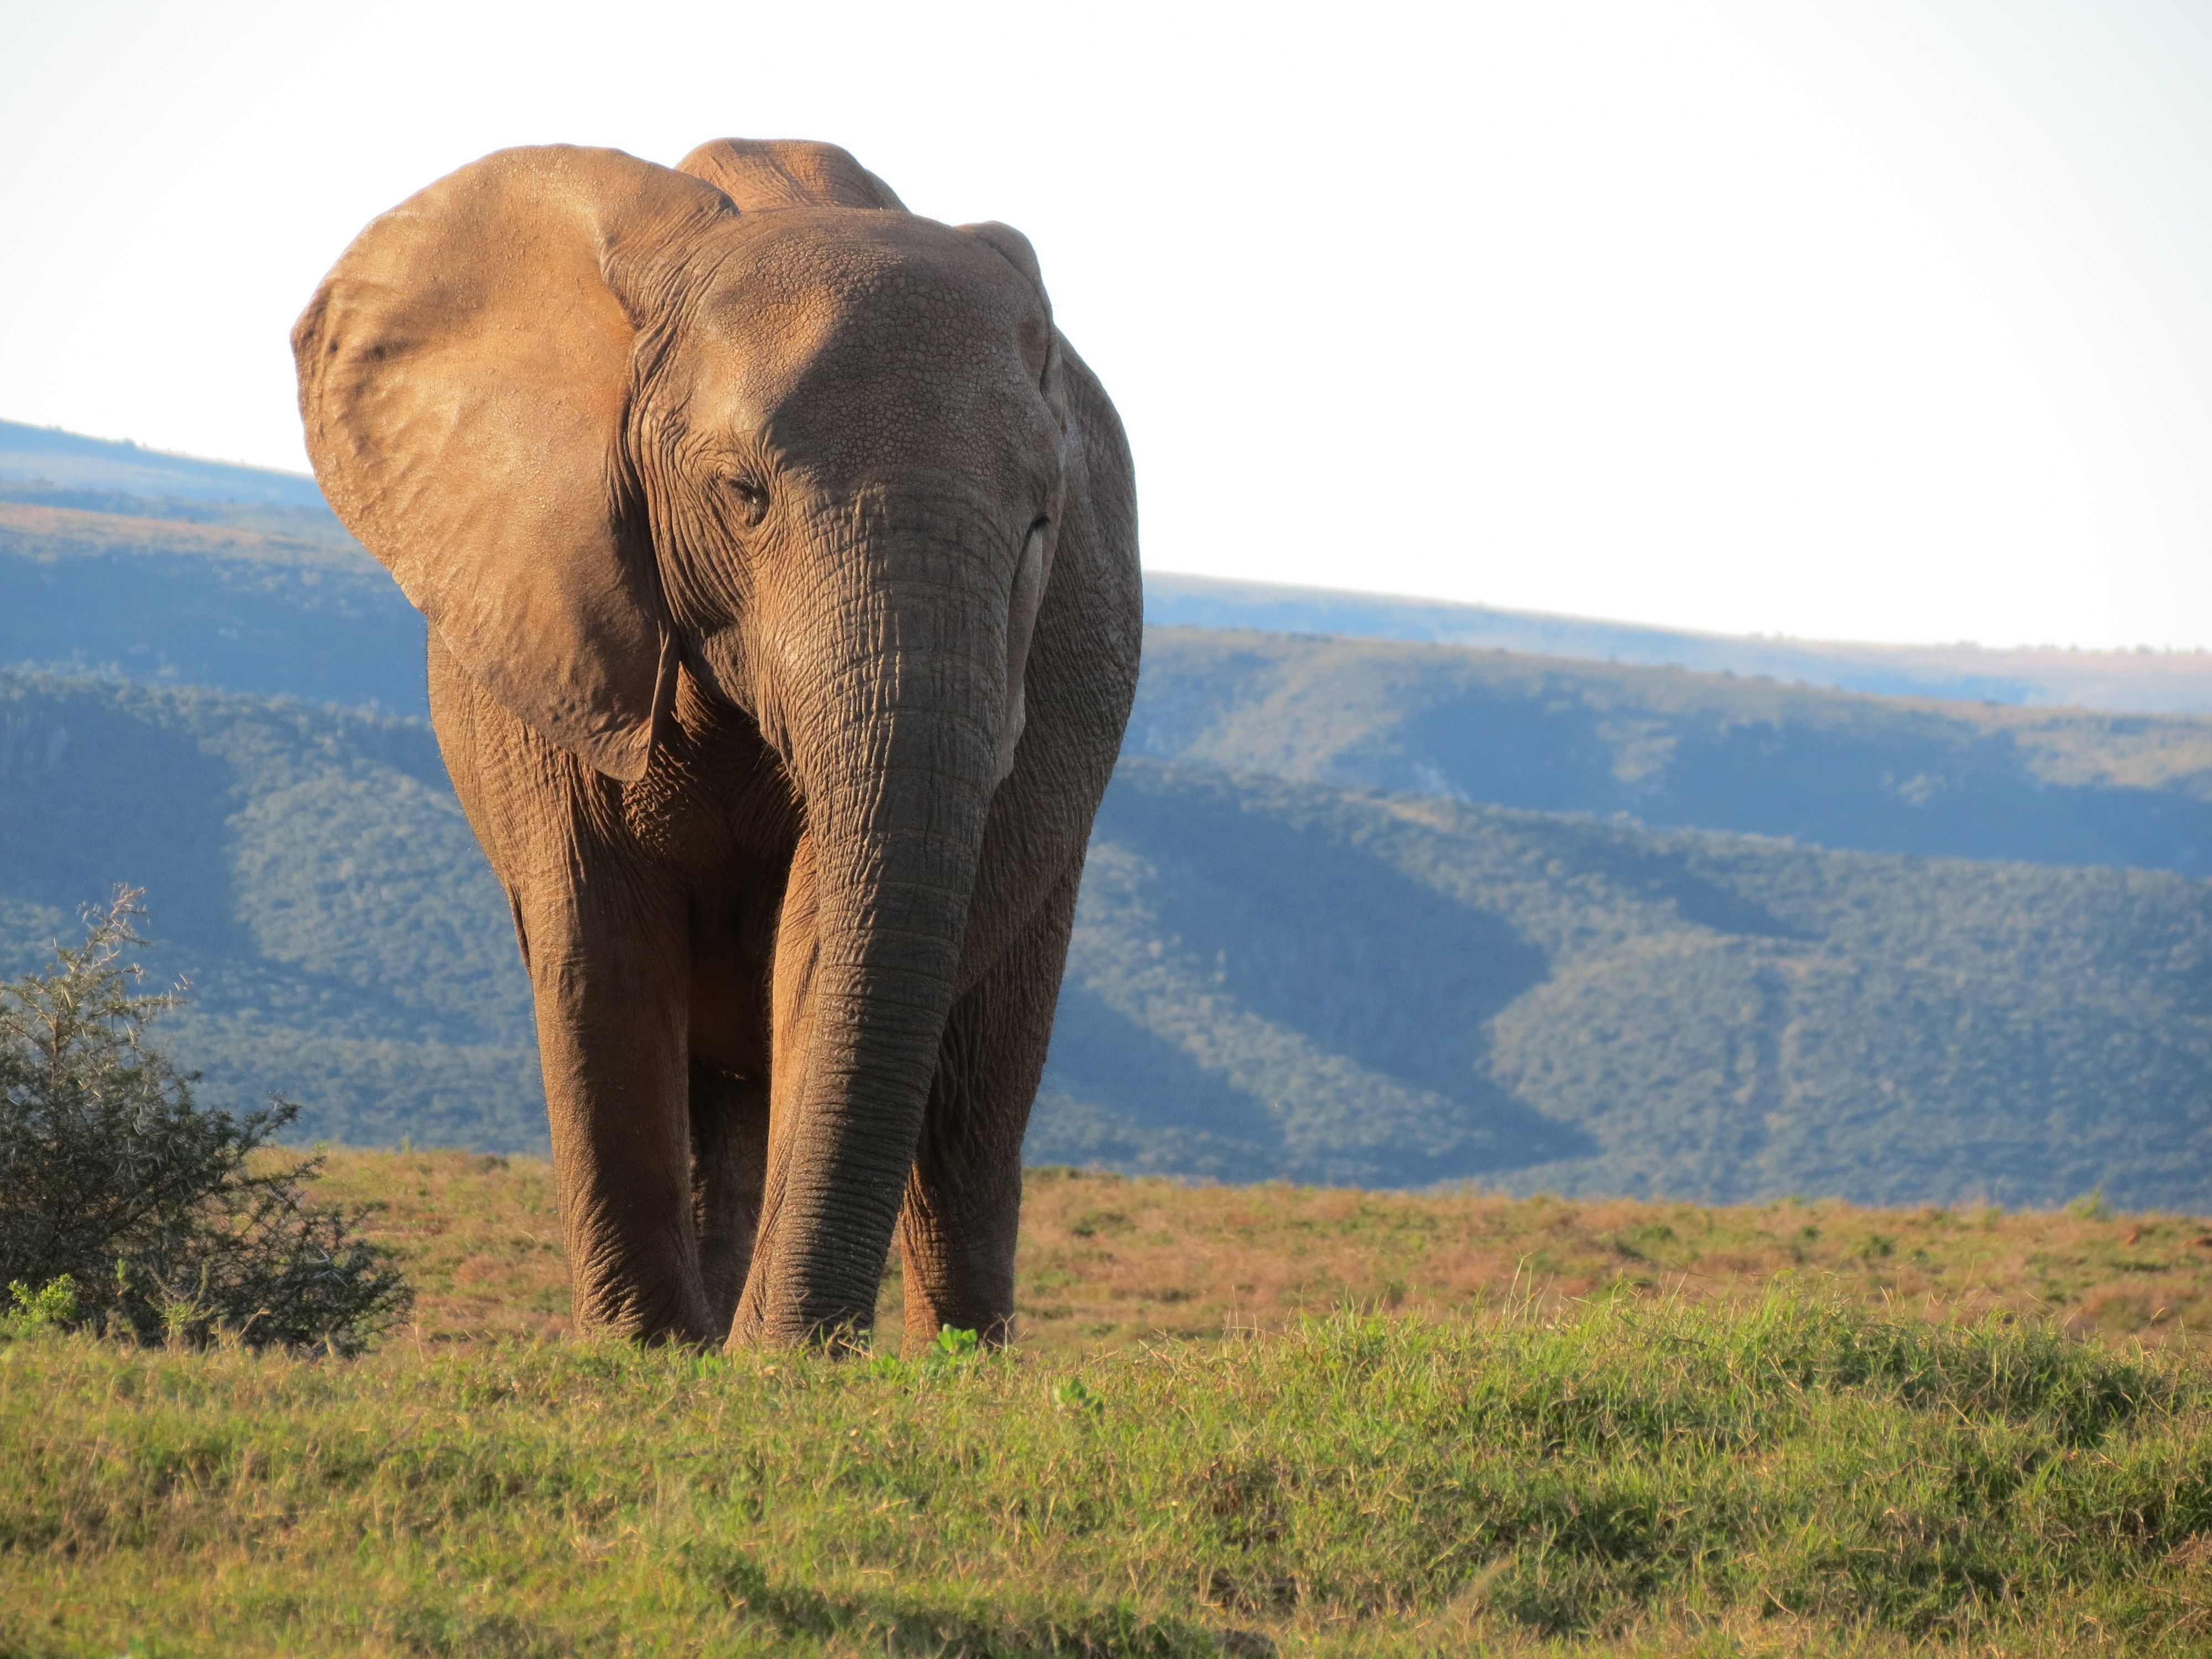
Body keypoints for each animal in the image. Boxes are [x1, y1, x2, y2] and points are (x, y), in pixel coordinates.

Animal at [293, 138, 1140, 1351]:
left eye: (1039, 527)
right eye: (743, 494)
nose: (801, 1352)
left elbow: (821, 940)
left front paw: (766, 1359)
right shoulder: (553, 610)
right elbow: (599, 945)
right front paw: (646, 1352)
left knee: (974, 1104)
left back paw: (955, 1359)